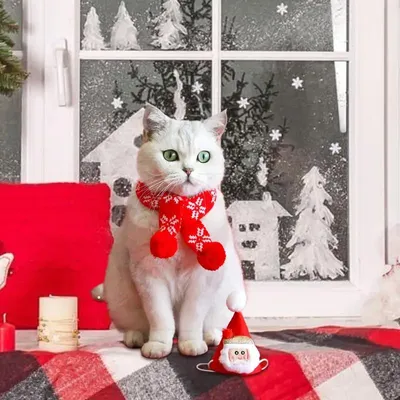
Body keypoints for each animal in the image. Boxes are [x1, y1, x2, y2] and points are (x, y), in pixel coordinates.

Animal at [103, 104, 245, 360]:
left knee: (213, 325)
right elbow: (160, 318)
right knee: (136, 326)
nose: (188, 169)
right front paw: (158, 346)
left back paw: (211, 337)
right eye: (170, 155)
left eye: (203, 156)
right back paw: (136, 338)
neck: (179, 211)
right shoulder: (149, 275)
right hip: (120, 298)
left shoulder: (202, 278)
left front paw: (191, 344)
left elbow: (192, 317)